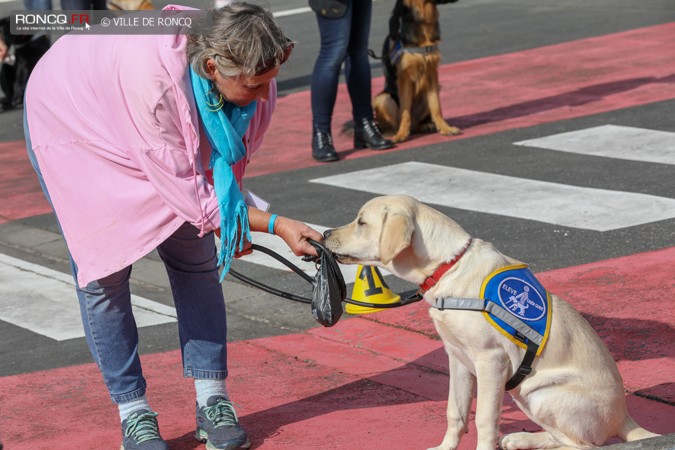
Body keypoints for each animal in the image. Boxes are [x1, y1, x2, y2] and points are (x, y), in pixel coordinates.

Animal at [324, 195, 656, 450]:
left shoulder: (491, 360)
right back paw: (522, 439)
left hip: (539, 393)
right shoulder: (456, 357)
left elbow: (484, 418)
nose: (325, 233)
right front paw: (445, 447)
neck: (449, 266)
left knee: (583, 445)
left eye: (361, 222)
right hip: (525, 394)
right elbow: (455, 412)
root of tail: (624, 417)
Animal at [372, 0, 462, 142]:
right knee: (391, 124)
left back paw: (425, 125)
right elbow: (405, 111)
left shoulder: (431, 74)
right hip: (382, 99)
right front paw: (401, 134)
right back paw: (394, 133)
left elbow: (436, 107)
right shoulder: (405, 78)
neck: (421, 19)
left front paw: (445, 128)